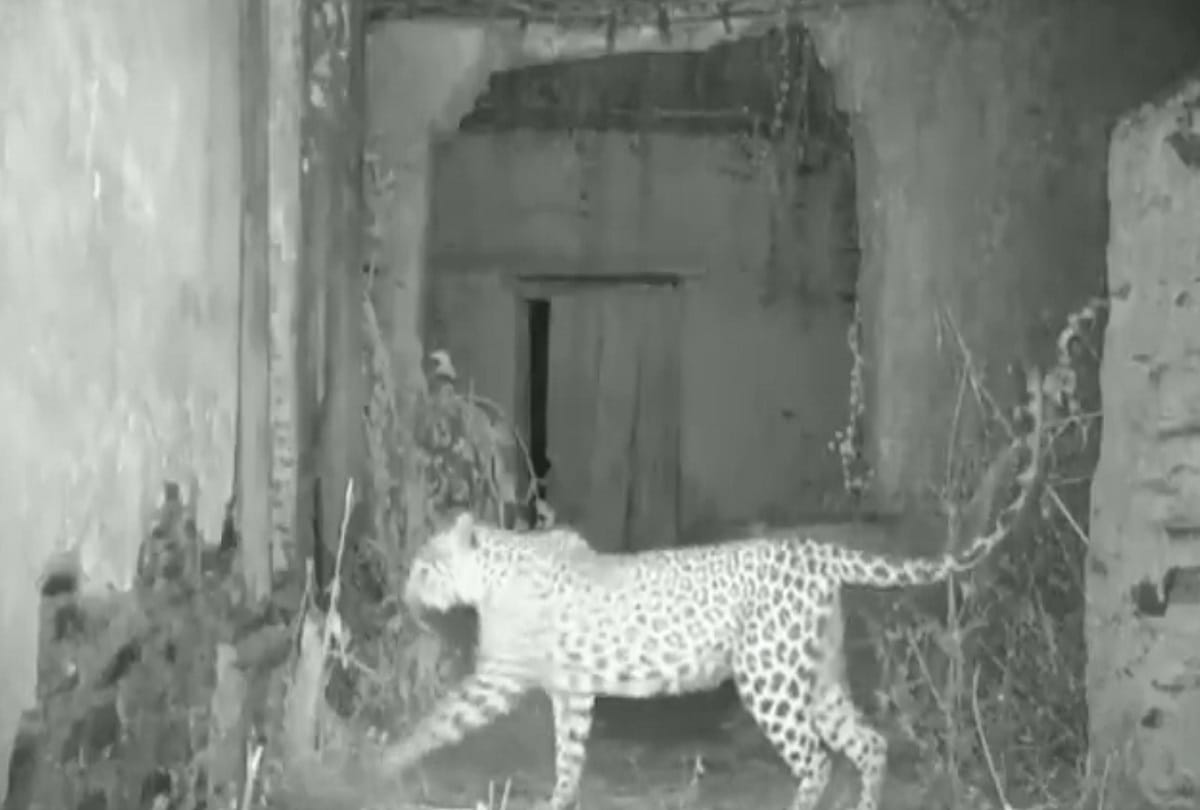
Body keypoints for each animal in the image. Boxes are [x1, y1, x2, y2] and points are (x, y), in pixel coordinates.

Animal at [382, 380, 1044, 810]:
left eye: (427, 568)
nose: (406, 590)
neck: (495, 570)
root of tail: (815, 551)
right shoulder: (571, 690)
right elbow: (568, 755)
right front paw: (559, 800)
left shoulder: (500, 675)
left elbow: (441, 719)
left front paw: (384, 759)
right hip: (818, 675)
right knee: (869, 743)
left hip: (768, 677)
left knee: (818, 759)